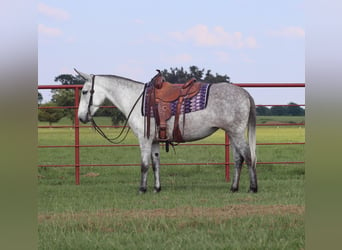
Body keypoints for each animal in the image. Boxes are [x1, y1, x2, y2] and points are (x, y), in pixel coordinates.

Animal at [75, 70, 256, 193]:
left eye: (84, 92)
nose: (81, 117)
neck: (136, 99)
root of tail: (245, 93)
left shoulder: (144, 139)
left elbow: (144, 165)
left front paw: (142, 189)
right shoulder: (155, 140)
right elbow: (156, 164)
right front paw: (157, 188)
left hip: (237, 133)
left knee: (248, 157)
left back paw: (253, 188)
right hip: (232, 134)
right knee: (238, 159)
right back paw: (234, 188)